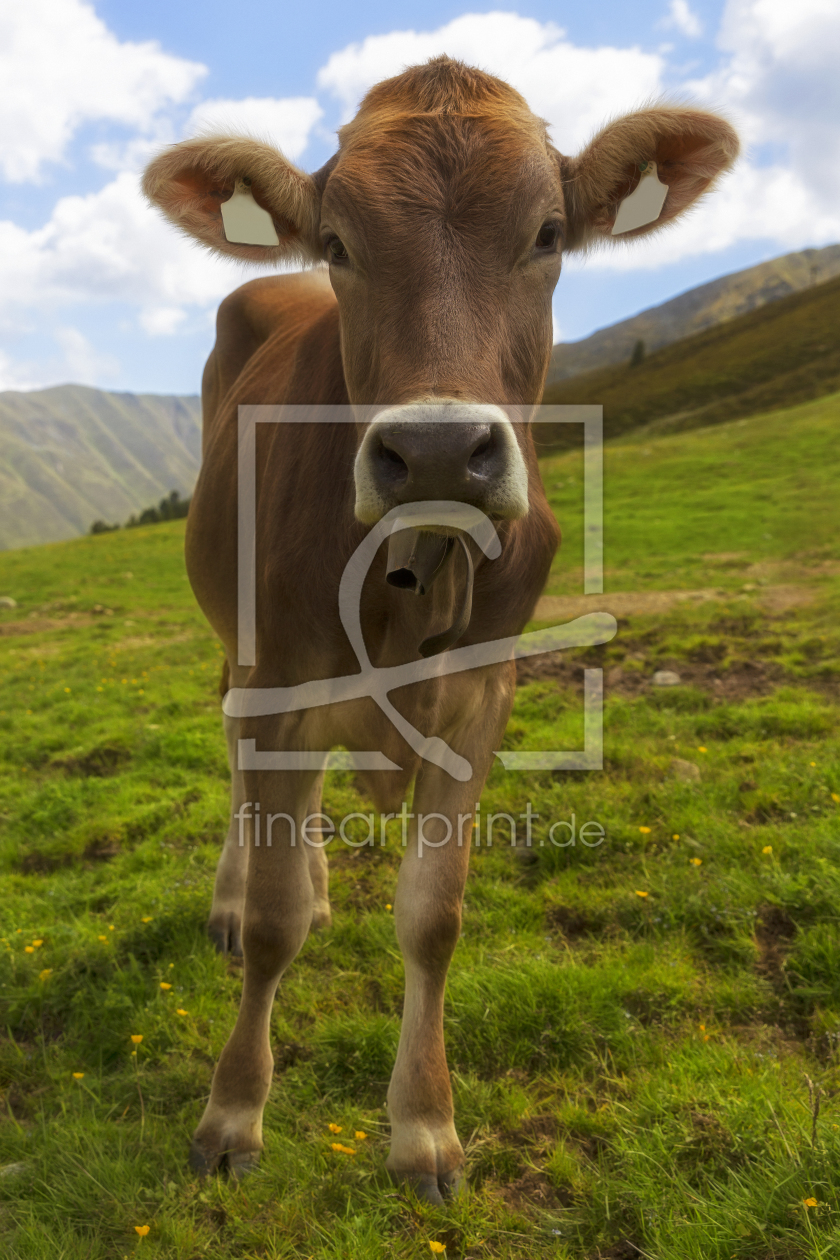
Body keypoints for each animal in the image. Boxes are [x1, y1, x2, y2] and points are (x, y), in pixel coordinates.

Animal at [142, 56, 735, 1199]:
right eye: (337, 242)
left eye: (548, 233)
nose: (434, 451)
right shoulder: (282, 678)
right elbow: (275, 925)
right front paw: (233, 1112)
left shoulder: (480, 697)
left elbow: (433, 916)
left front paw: (423, 1124)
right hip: (240, 651)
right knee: (236, 759)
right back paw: (240, 896)